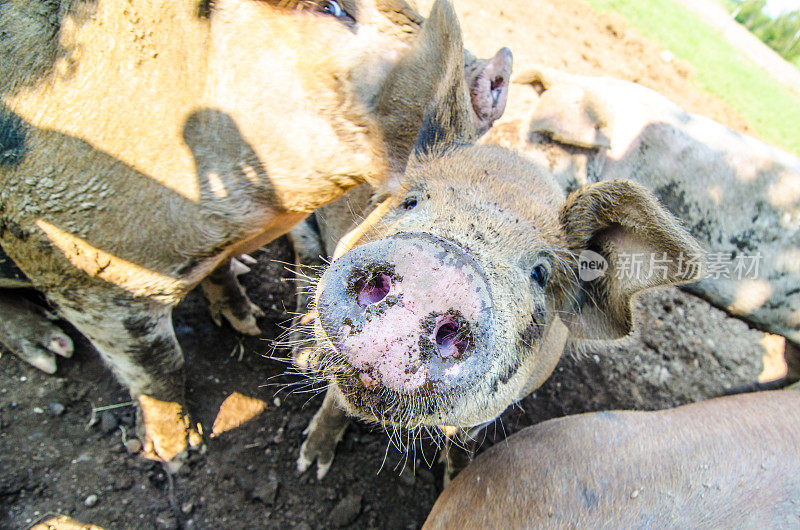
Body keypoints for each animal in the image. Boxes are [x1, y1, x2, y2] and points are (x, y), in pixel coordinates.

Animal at [0, 0, 510, 458]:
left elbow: (220, 274)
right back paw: (55, 350)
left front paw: (246, 321)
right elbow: (160, 368)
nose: (500, 61)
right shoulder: (86, 275)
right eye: (330, 7)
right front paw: (177, 453)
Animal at [292, 0, 700, 478]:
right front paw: (310, 465)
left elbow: (465, 439)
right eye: (411, 201)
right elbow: (336, 400)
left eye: (540, 273)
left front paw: (455, 475)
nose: (441, 269)